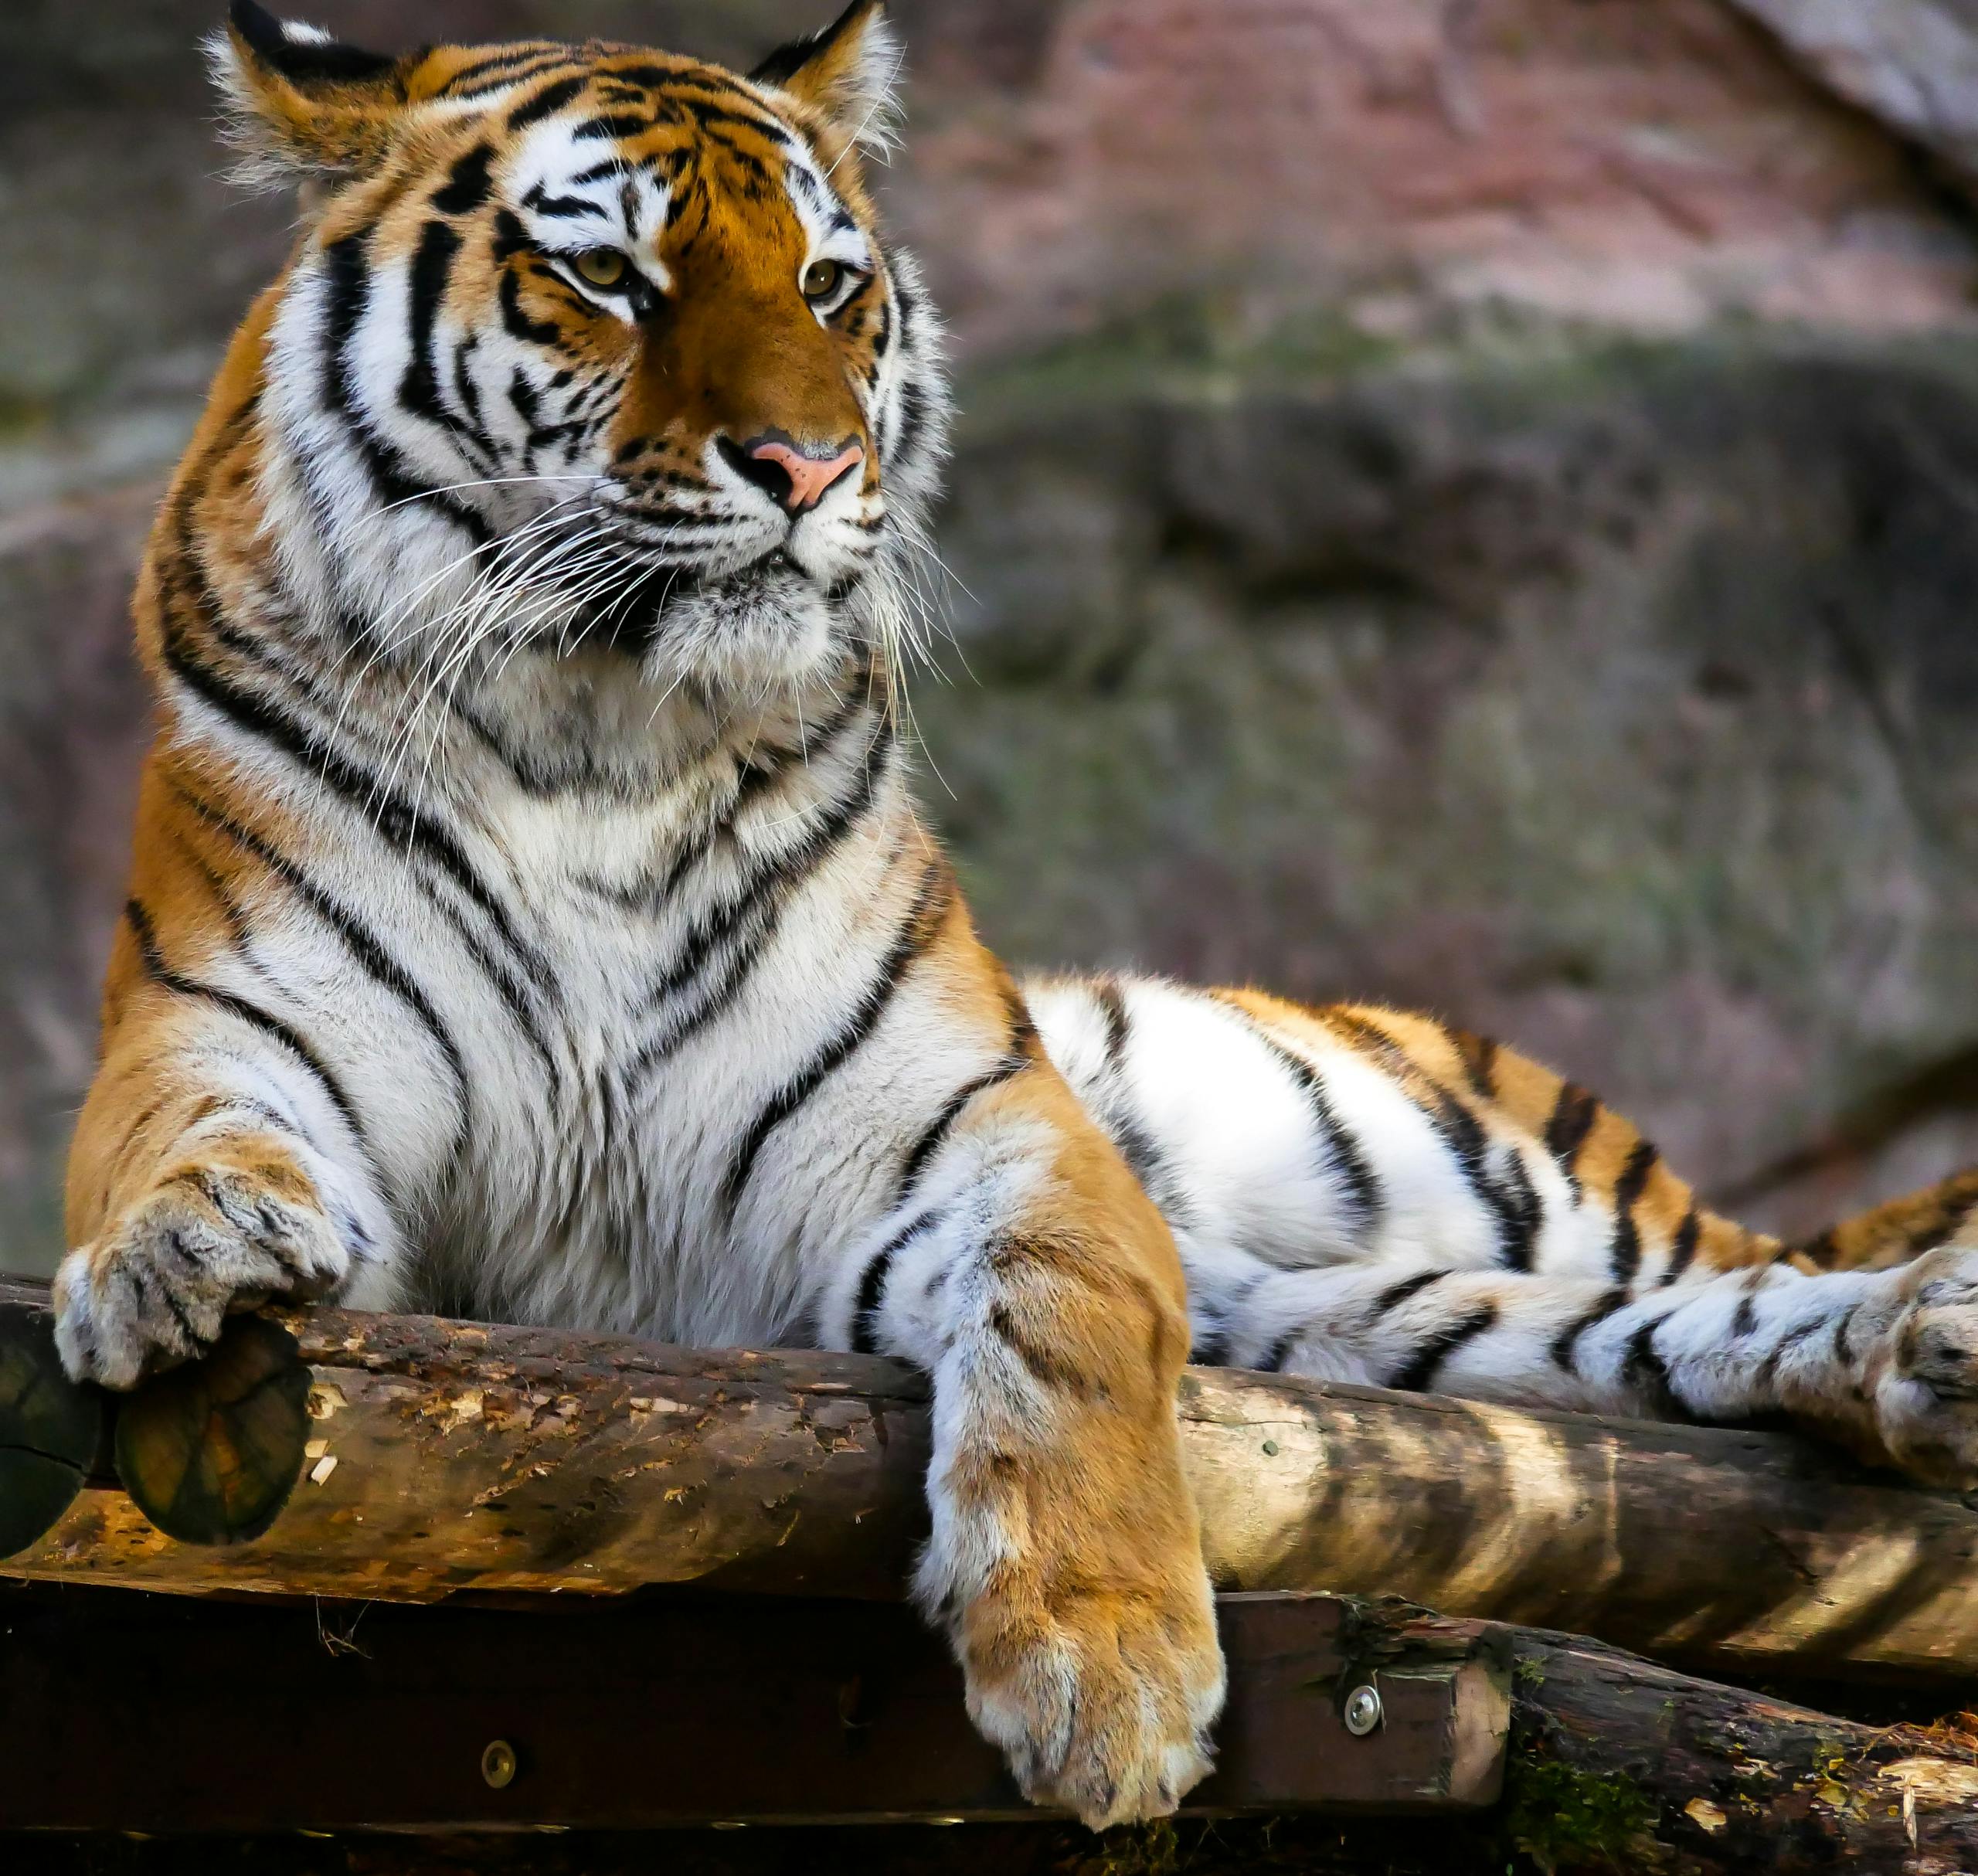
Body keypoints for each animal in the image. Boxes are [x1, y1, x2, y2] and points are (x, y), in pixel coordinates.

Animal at [49, 0, 1978, 1828]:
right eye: (607, 278)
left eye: (829, 288)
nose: (806, 468)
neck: (596, 736)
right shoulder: (224, 1022)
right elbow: (179, 1137)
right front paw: (182, 1251)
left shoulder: (987, 1129)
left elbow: (1066, 1329)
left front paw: (1104, 1678)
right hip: (1386, 1318)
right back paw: (1921, 1354)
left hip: (1476, 1171)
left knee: (1737, 1269)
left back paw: (1918, 1322)